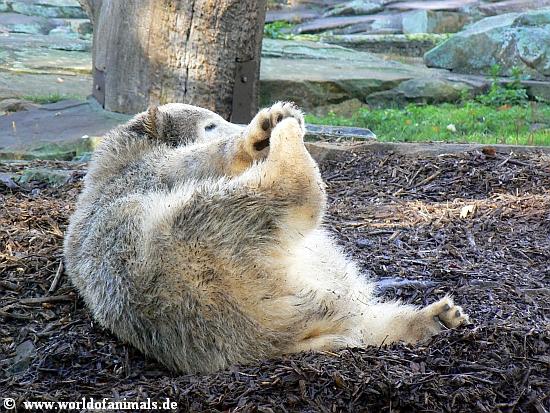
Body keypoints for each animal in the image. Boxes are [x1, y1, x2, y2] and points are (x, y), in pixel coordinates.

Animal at [63, 102, 469, 374]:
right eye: (211, 124)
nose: (238, 124)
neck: (115, 154)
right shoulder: (140, 171)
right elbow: (196, 162)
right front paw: (263, 130)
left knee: (367, 324)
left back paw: (439, 317)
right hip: (205, 239)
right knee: (278, 195)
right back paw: (285, 136)